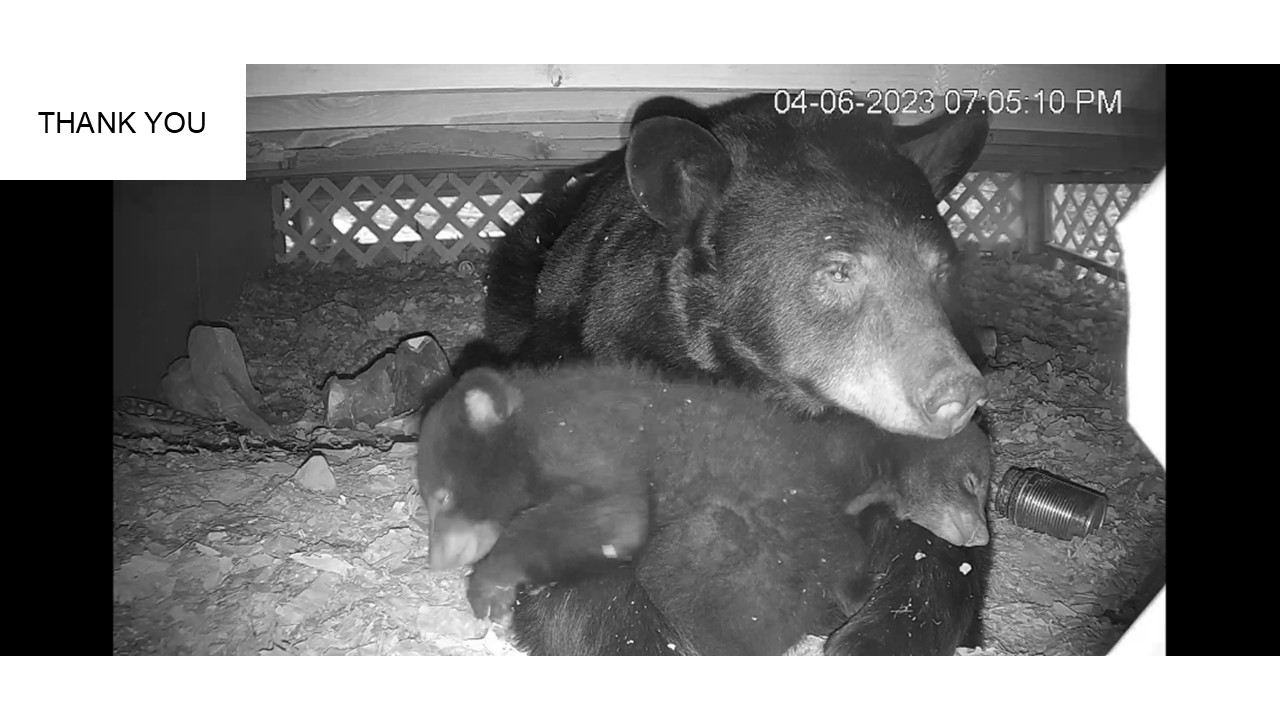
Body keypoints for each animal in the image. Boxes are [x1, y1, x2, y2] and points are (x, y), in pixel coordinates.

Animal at [417, 363, 992, 655]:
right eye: (433, 497)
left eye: (980, 485)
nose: (436, 560)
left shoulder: (590, 442)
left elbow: (614, 519)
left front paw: (491, 584)